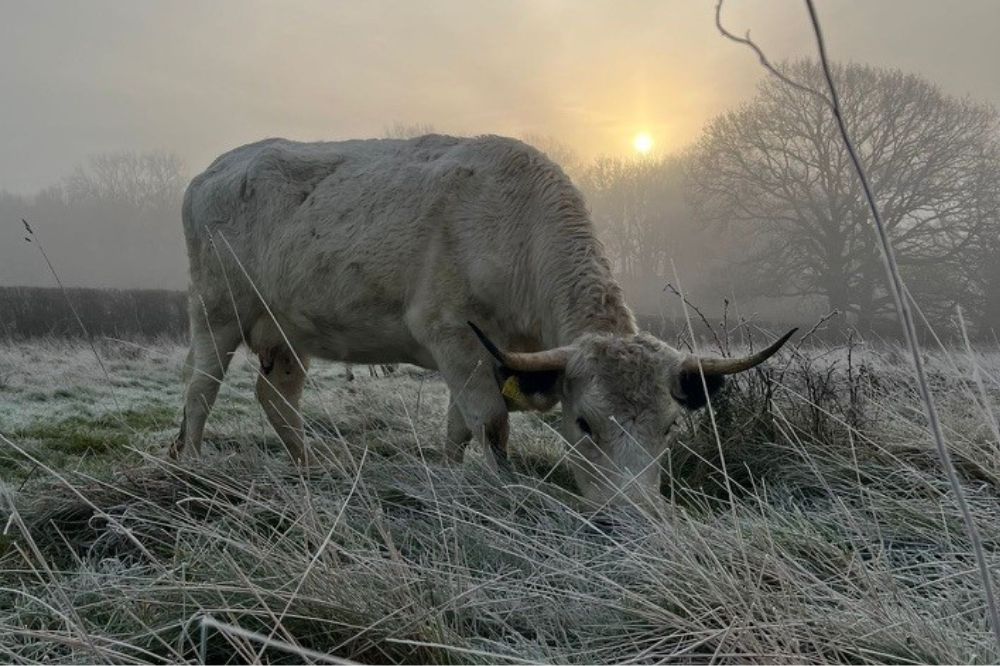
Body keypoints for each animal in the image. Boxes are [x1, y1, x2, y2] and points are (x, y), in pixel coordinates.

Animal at [174, 136, 796, 508]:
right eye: (584, 424)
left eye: (669, 428)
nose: (633, 517)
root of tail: (213, 169)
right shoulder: (450, 332)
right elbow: (490, 423)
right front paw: (507, 491)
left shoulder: (488, 353)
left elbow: (458, 427)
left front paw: (448, 479)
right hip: (215, 306)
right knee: (201, 387)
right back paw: (192, 463)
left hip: (288, 330)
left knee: (277, 396)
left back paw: (310, 468)